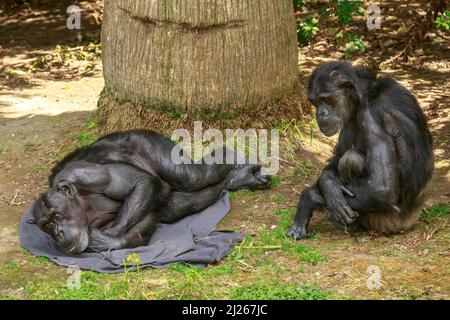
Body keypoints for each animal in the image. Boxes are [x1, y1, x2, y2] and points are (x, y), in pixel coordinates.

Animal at [29, 129, 270, 252]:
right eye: (47, 225)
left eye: (56, 216)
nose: (58, 231)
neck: (84, 205)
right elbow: (145, 219)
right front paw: (108, 242)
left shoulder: (86, 174)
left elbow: (140, 183)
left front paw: (105, 238)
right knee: (183, 202)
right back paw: (239, 177)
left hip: (149, 143)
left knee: (192, 177)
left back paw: (230, 157)